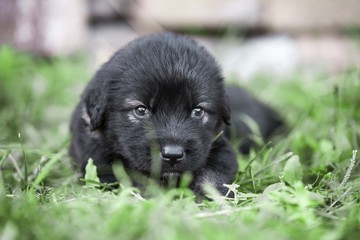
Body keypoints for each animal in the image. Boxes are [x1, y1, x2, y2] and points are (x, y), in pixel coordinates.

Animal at [70, 31, 282, 196]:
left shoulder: (219, 147)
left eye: (198, 111)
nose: (173, 155)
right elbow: (128, 177)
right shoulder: (98, 157)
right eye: (141, 110)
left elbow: (212, 175)